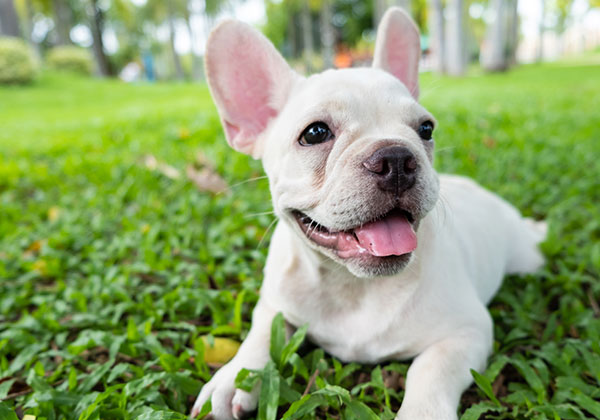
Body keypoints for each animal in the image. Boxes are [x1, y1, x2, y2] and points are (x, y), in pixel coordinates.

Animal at [191, 7, 544, 420]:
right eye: (315, 133)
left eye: (426, 129)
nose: (396, 157)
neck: (352, 285)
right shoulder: (274, 305)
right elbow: (260, 335)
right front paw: (232, 378)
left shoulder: (467, 330)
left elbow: (431, 370)